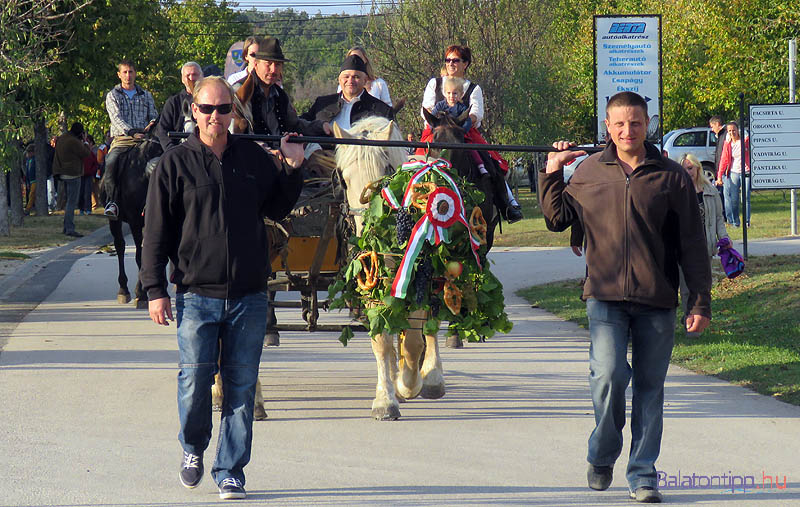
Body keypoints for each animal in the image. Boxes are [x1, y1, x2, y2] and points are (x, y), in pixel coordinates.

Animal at [104, 135, 164, 308]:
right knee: (120, 246)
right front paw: (141, 293)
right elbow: (139, 255)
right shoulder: (135, 220)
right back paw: (123, 290)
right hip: (114, 221)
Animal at [330, 116, 444, 420]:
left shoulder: (419, 279)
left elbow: (415, 341)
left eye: (387, 171)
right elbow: (383, 341)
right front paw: (386, 400)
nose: (369, 230)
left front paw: (408, 385)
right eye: (344, 178)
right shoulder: (372, 282)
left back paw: (431, 378)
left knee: (431, 326)